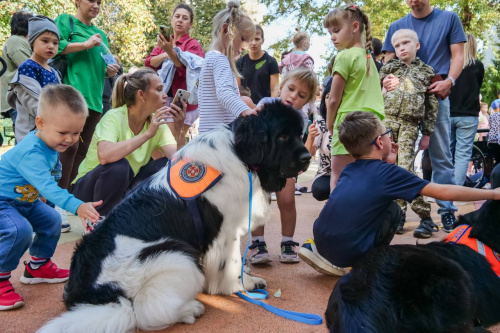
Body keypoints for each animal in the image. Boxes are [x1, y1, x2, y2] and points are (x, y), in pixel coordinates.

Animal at [41, 102, 310, 332]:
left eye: (301, 135)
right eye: (283, 137)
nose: (307, 158)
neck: (240, 154)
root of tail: (96, 293)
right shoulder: (227, 232)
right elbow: (230, 264)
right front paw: (241, 286)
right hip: (175, 253)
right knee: (144, 312)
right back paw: (190, 309)